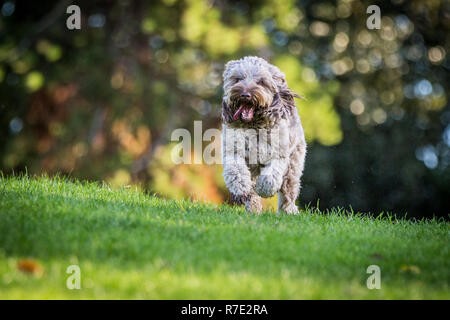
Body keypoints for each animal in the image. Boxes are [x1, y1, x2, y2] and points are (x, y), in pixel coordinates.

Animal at [221, 56, 306, 214]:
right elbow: (237, 173)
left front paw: (264, 189)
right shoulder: (233, 152)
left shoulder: (278, 155)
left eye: (261, 82)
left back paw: (288, 211)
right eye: (237, 79)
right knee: (252, 190)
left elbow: (271, 177)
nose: (245, 94)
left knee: (288, 191)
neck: (254, 125)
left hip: (293, 166)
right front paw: (242, 190)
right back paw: (253, 208)